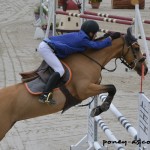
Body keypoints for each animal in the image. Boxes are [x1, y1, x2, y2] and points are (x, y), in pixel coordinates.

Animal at [0, 27, 148, 141]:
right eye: (136, 47)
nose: (145, 69)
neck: (90, 59)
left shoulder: (93, 87)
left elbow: (110, 89)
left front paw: (98, 108)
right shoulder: (84, 89)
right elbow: (112, 88)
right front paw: (100, 108)